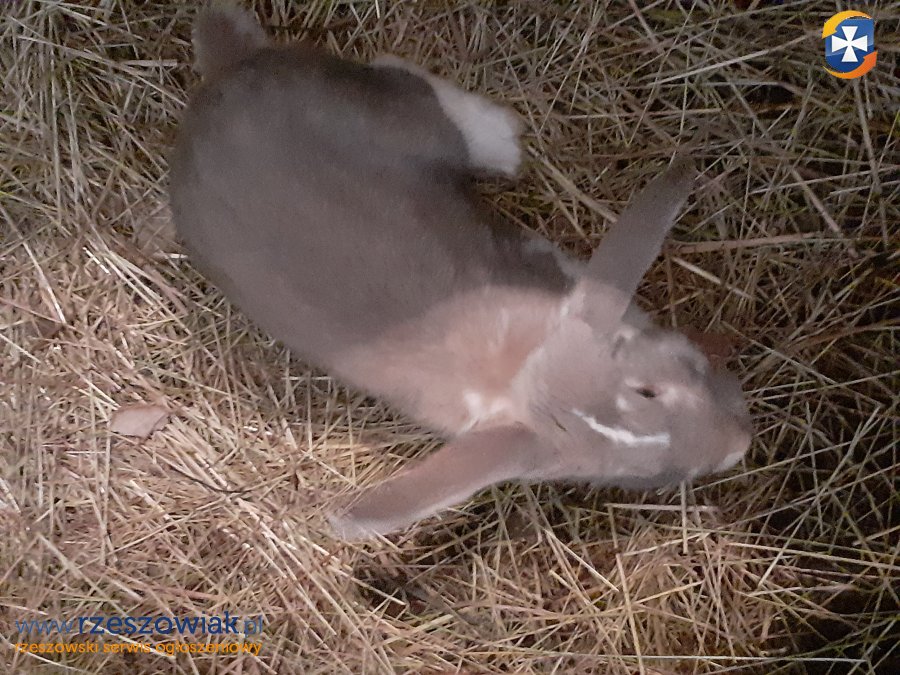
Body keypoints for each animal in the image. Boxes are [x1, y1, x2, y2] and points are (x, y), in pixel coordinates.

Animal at [169, 3, 753, 540]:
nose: (739, 444)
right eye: (648, 478)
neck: (514, 368)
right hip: (403, 118)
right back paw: (505, 140)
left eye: (661, 381)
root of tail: (226, 70)